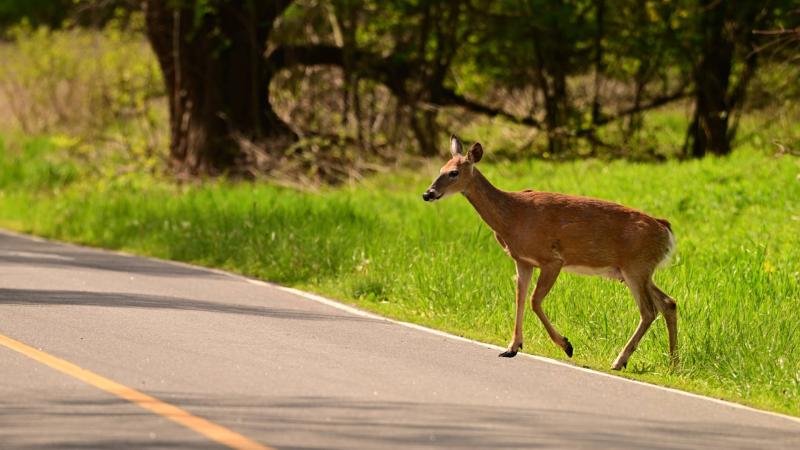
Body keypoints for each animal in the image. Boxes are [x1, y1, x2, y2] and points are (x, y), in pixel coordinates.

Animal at [422, 135, 677, 370]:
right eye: (441, 169)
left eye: (453, 173)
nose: (428, 193)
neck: (511, 216)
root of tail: (665, 229)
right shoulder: (523, 260)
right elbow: (520, 297)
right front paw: (511, 347)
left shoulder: (552, 259)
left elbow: (534, 301)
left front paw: (567, 345)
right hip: (636, 271)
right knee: (668, 302)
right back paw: (673, 363)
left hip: (636, 267)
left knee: (649, 310)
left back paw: (619, 361)